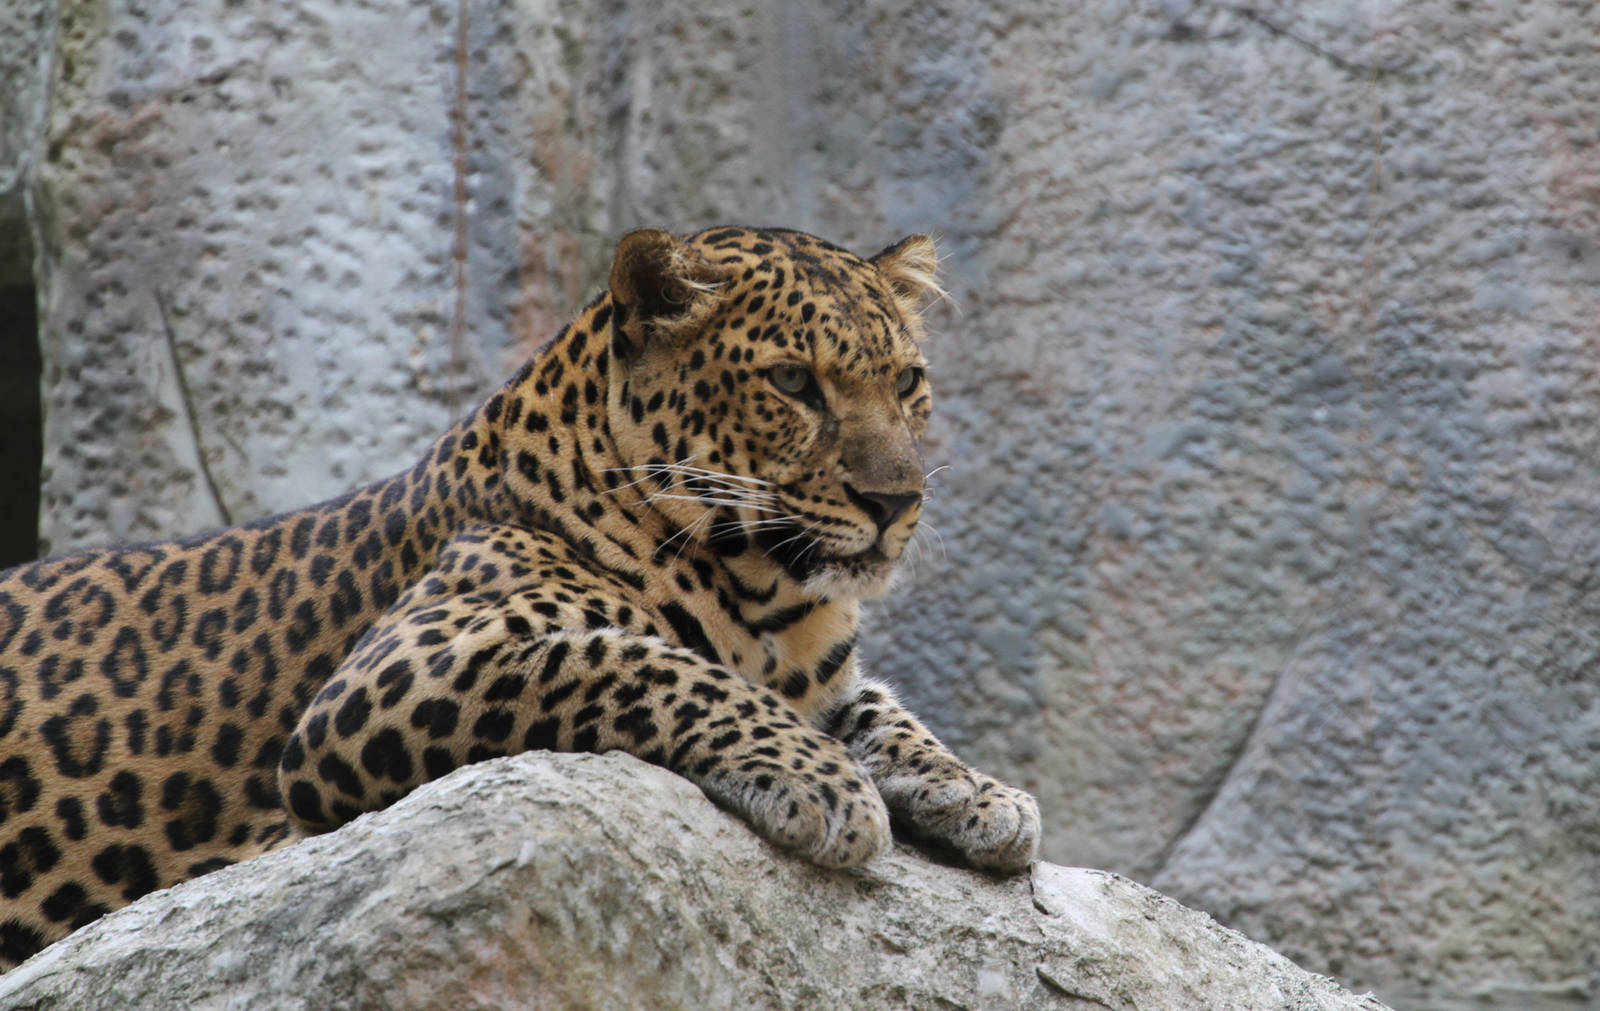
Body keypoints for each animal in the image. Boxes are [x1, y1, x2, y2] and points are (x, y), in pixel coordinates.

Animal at [0, 225, 1041, 967]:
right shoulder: (394, 674)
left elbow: (885, 710)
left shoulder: (822, 675)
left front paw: (980, 792)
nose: (897, 500)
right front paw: (824, 784)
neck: (764, 590)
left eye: (907, 382)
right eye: (793, 382)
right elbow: (643, 662)